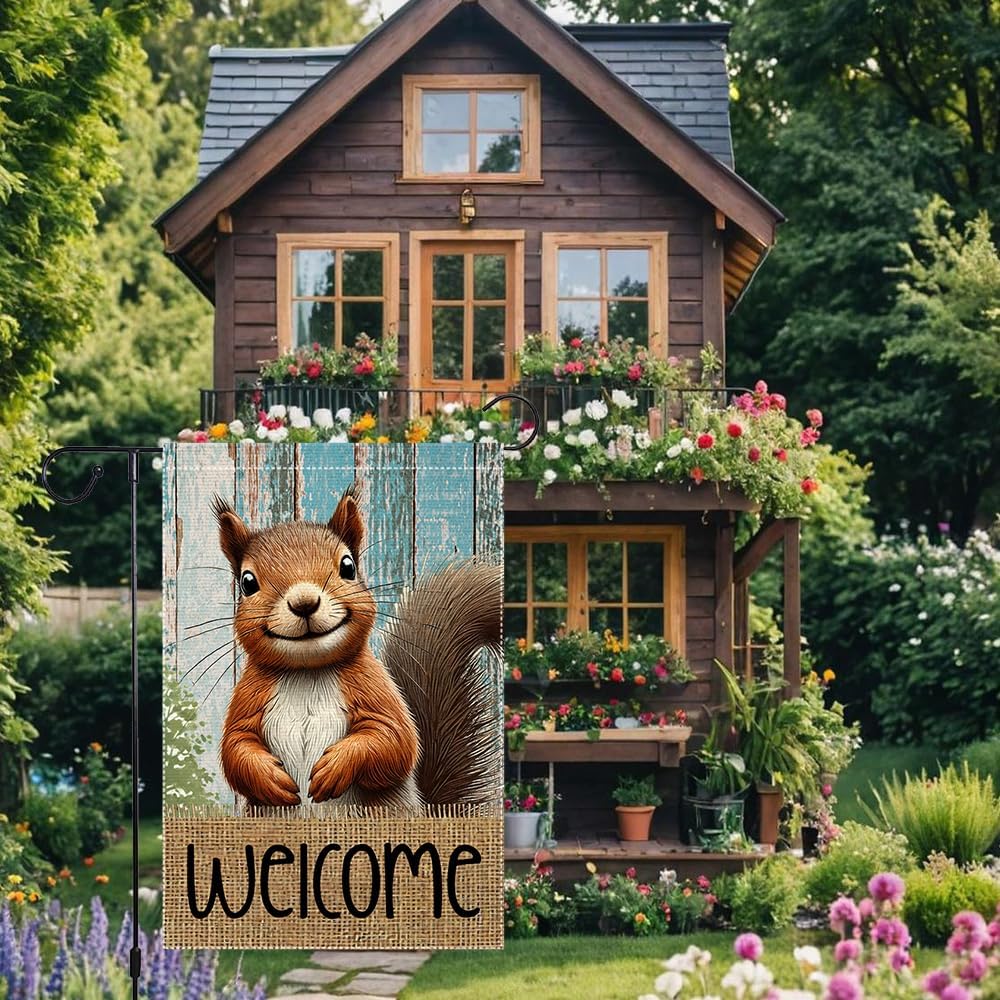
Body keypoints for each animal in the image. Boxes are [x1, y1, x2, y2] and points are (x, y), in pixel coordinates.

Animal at [212, 483, 502, 813]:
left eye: (348, 567)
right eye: (247, 582)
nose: (304, 602)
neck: (308, 672)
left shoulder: (374, 685)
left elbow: (394, 739)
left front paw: (336, 767)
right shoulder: (250, 694)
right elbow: (236, 745)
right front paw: (270, 777)